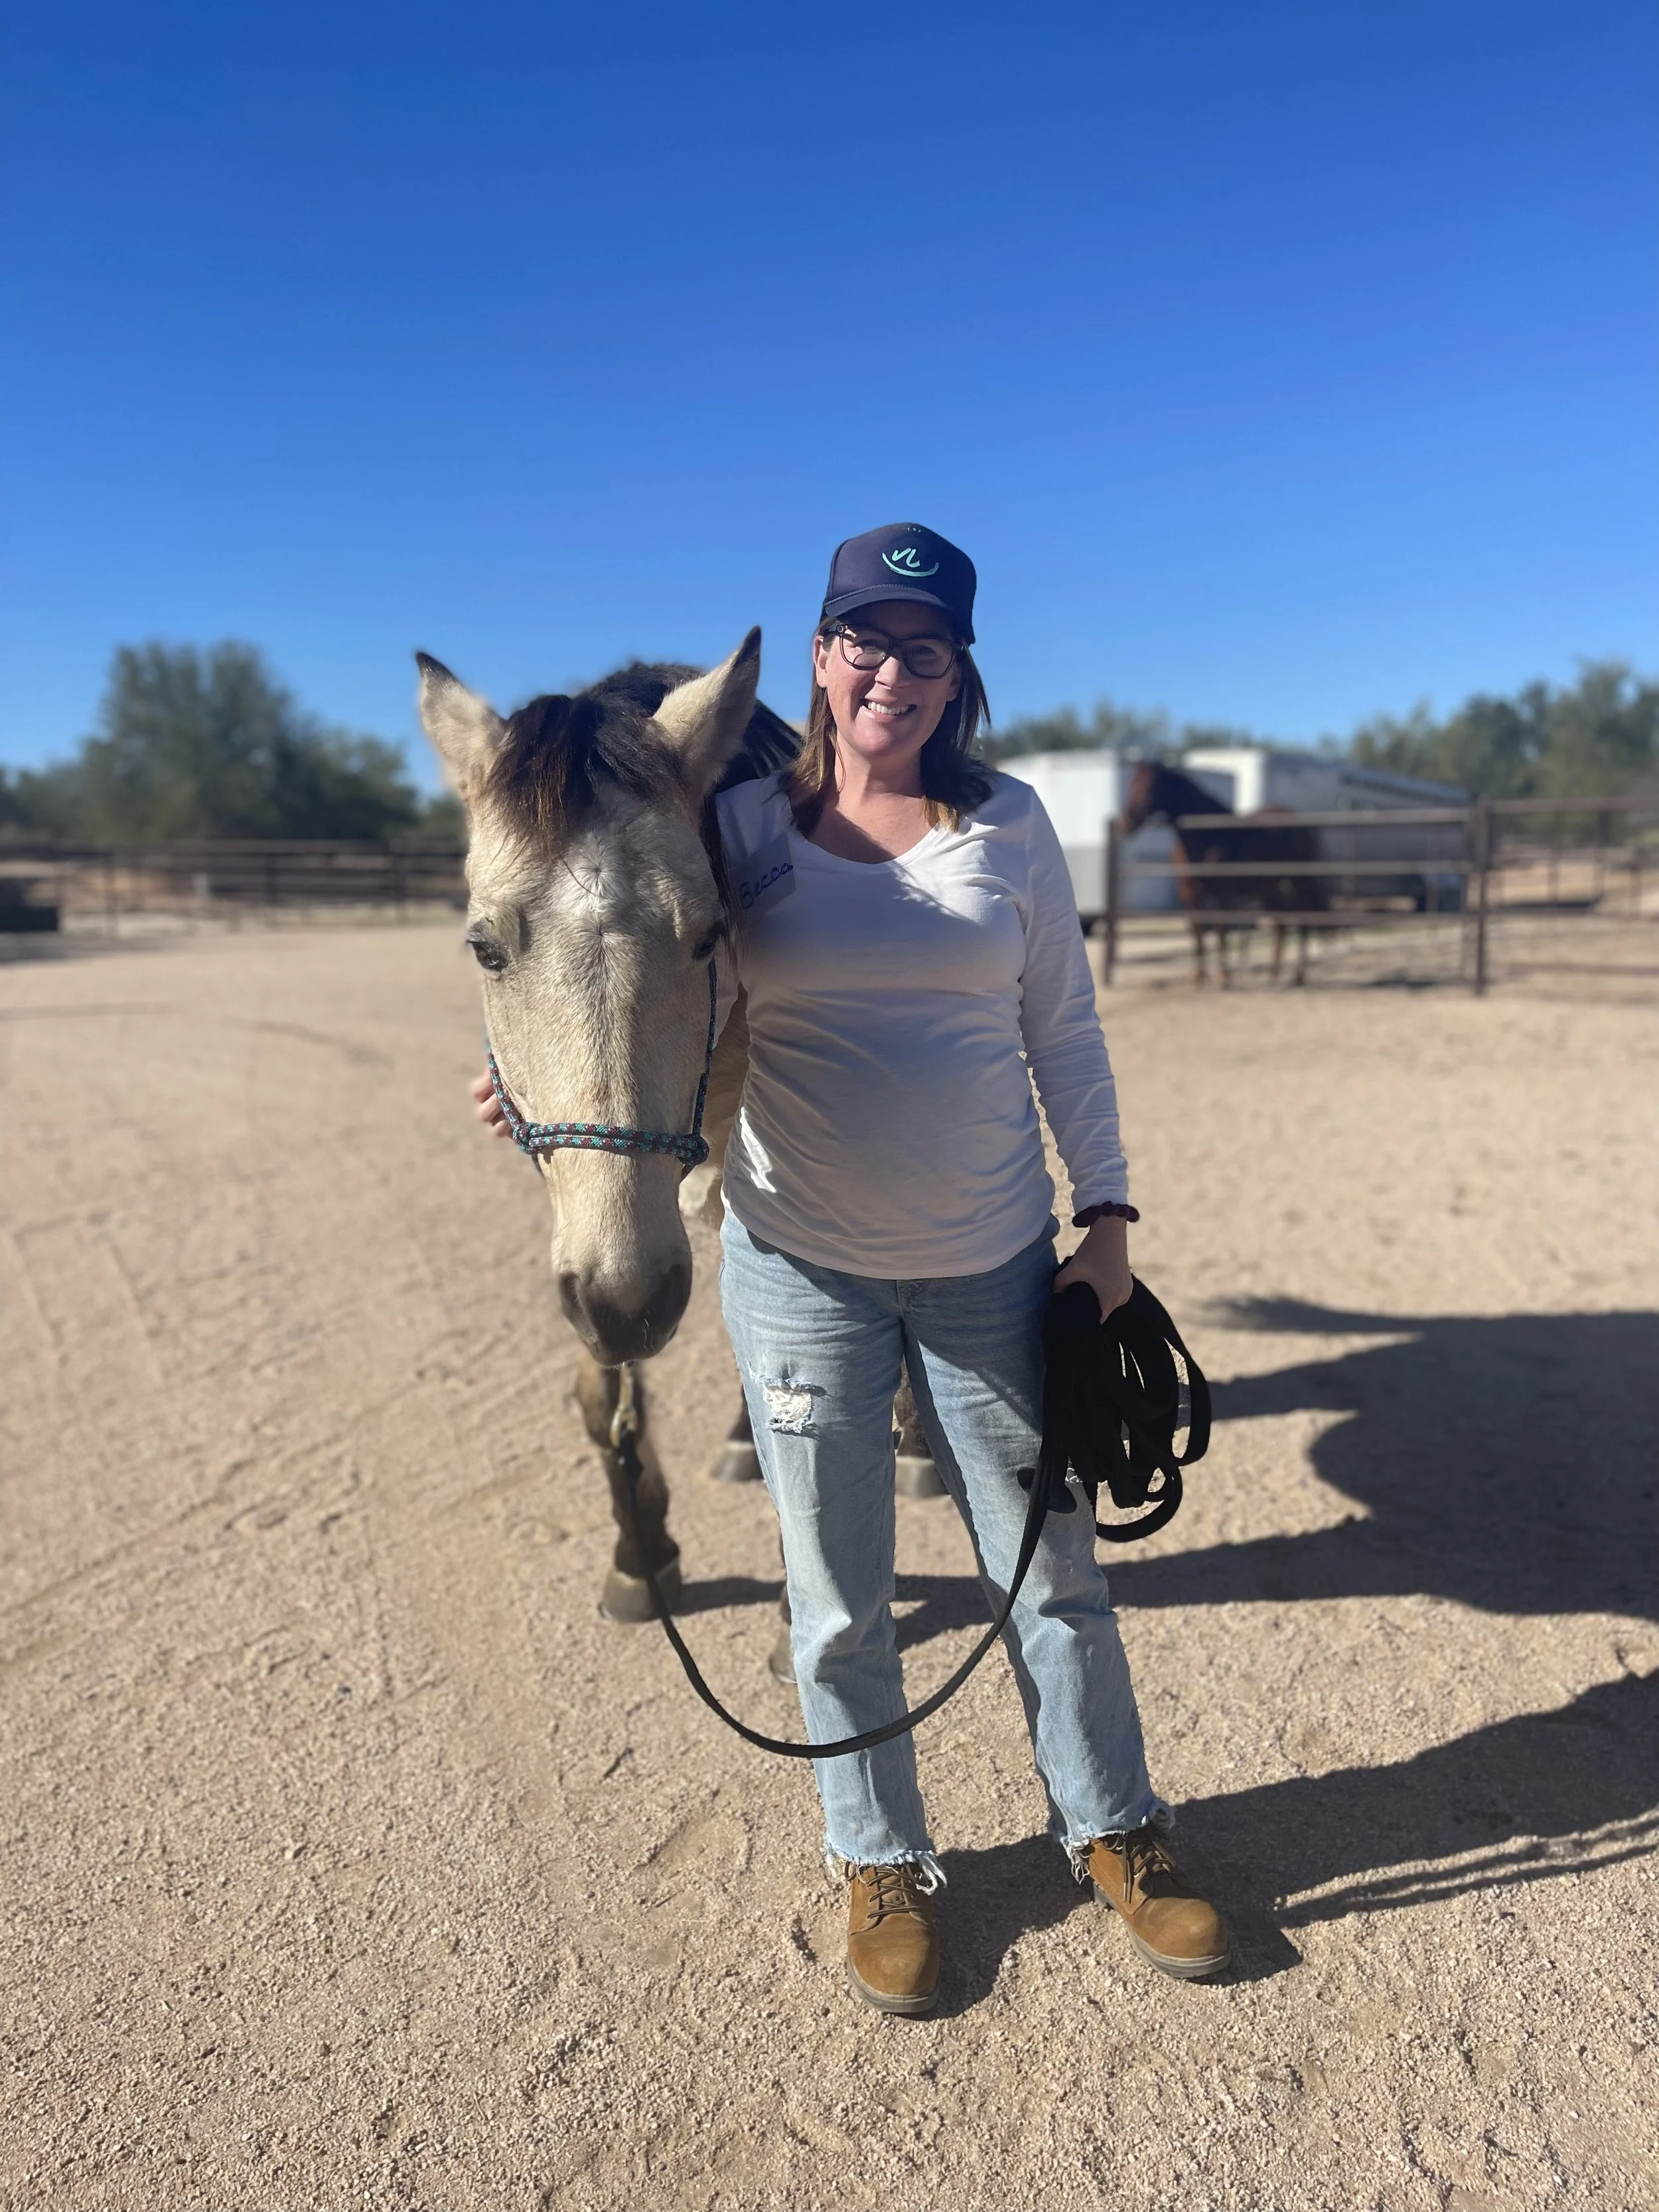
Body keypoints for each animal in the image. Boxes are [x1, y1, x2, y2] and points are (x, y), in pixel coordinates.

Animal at [416, 636, 939, 1662]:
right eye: (485, 949)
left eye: (706, 936)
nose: (631, 1302)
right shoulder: (582, 1228)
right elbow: (604, 1393)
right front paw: (641, 1556)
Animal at [1116, 760, 1329, 985]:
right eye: (1131, 785)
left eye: (1149, 786)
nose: (1124, 824)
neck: (1207, 836)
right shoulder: (1190, 894)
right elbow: (1198, 931)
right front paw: (1199, 976)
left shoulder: (1222, 894)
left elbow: (1220, 930)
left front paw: (1223, 975)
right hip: (1270, 889)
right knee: (1280, 928)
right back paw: (1272, 974)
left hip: (1300, 881)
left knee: (1305, 922)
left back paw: (1299, 974)